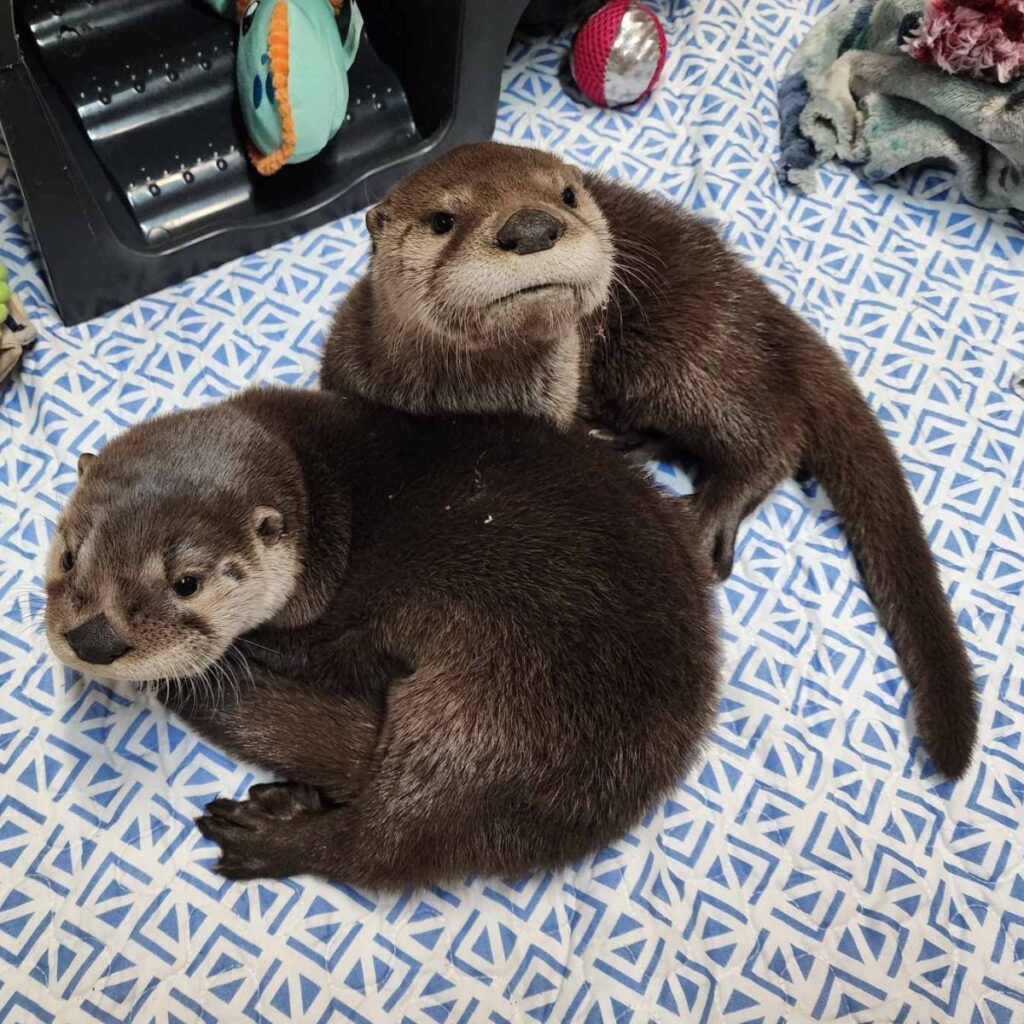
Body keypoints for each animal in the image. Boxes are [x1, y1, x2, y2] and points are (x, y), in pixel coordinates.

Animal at [44, 387, 719, 885]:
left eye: (186, 582)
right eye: (71, 554)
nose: (95, 640)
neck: (325, 504)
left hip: (491, 710)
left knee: (385, 841)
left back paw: (270, 836)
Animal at [320, 141, 978, 781]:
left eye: (567, 194)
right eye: (441, 220)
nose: (531, 226)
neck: (462, 401)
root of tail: (754, 295)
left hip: (684, 348)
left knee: (772, 435)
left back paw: (705, 516)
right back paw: (629, 444)